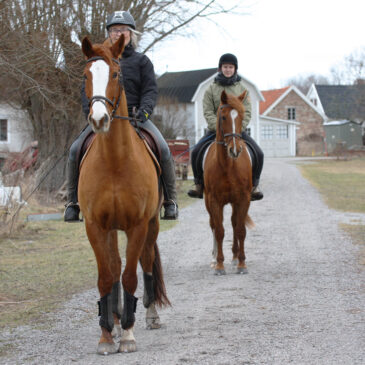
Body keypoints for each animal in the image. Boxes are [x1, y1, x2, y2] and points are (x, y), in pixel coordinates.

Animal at [78, 35, 169, 354]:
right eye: (86, 76)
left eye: (116, 74)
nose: (99, 119)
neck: (115, 162)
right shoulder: (96, 226)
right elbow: (107, 277)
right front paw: (107, 335)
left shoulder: (137, 225)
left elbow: (130, 276)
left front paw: (128, 335)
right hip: (111, 229)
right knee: (115, 267)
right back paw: (115, 322)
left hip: (151, 225)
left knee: (146, 262)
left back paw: (149, 316)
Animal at [203, 90, 252, 272]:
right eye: (223, 117)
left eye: (242, 116)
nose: (235, 150)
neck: (228, 166)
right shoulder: (214, 200)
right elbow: (219, 231)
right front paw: (219, 265)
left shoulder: (244, 198)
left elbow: (240, 229)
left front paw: (242, 264)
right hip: (208, 202)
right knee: (213, 225)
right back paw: (214, 258)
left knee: (234, 222)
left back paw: (235, 256)